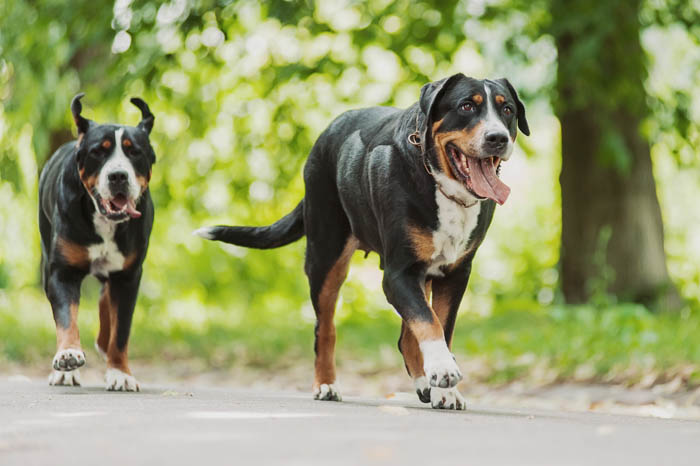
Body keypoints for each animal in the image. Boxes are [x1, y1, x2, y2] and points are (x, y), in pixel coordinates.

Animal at [39, 93, 157, 390]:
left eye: (134, 151)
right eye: (98, 152)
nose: (118, 176)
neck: (105, 221)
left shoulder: (128, 276)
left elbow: (121, 331)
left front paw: (120, 372)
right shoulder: (62, 272)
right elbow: (66, 318)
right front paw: (68, 357)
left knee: (106, 299)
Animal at [194, 73, 528, 408]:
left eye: (507, 110)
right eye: (466, 106)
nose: (497, 137)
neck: (441, 185)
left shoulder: (454, 274)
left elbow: (439, 325)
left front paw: (445, 388)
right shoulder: (398, 273)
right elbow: (427, 320)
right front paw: (444, 370)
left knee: (405, 337)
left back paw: (423, 382)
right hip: (326, 258)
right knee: (325, 329)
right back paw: (326, 384)